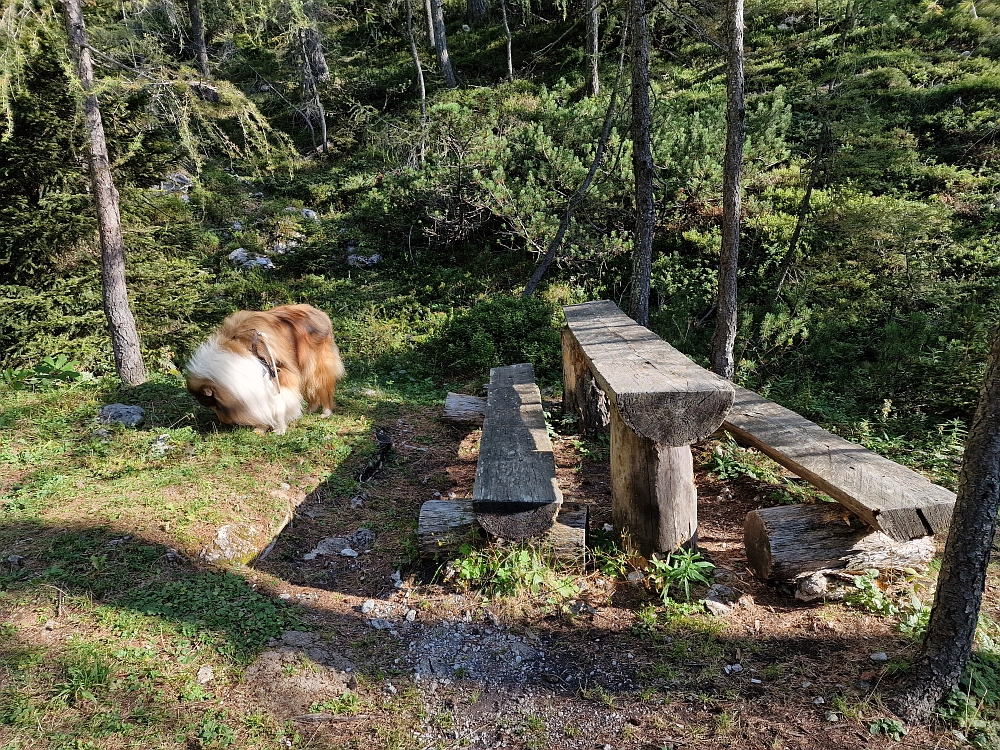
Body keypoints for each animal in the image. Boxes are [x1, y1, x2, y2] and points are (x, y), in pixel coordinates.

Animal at [186, 304, 346, 434]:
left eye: (215, 404)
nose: (224, 422)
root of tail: (321, 313)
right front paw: (261, 427)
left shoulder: (278, 374)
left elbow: (279, 403)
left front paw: (280, 428)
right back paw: (309, 409)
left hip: (315, 366)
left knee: (323, 387)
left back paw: (326, 412)